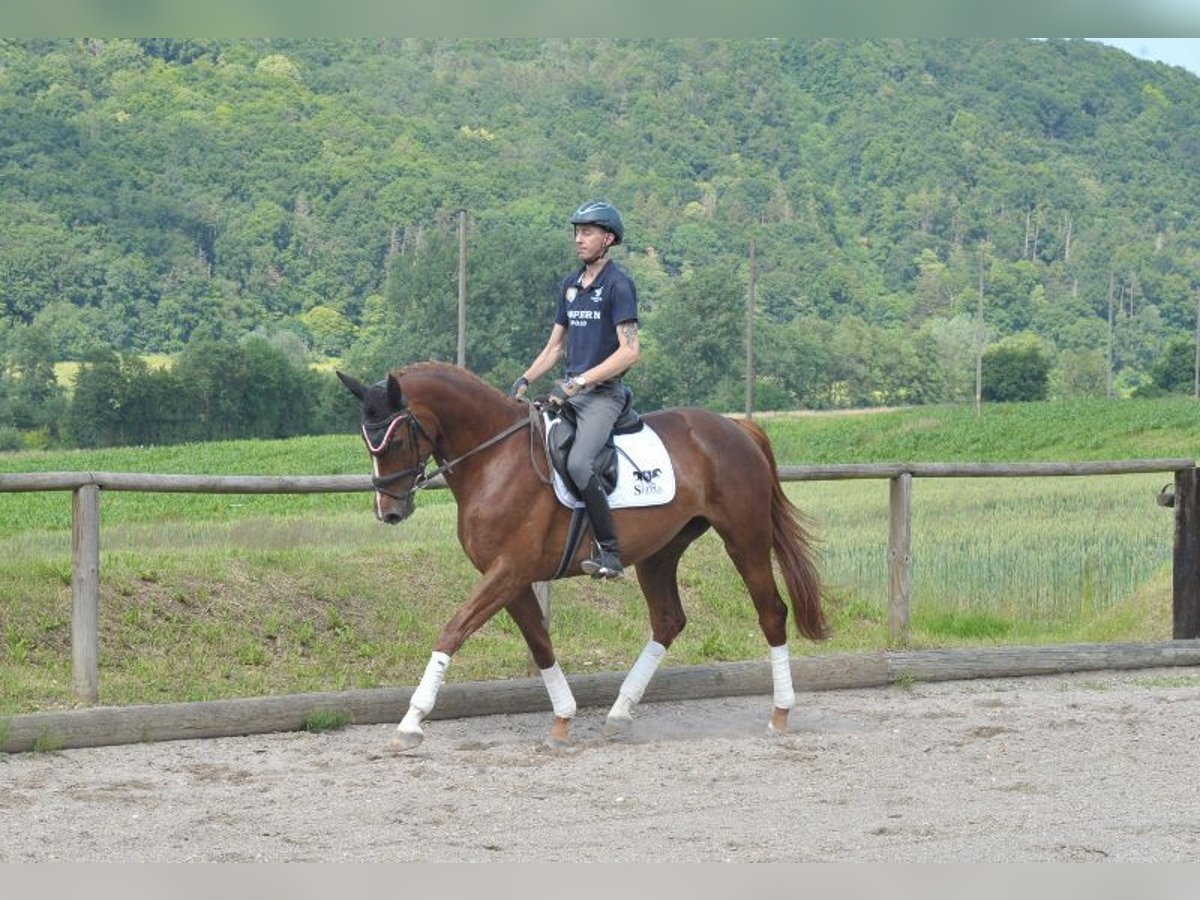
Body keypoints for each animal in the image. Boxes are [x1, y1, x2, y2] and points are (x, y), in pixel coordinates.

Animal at [338, 362, 825, 748]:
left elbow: (453, 631)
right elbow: (539, 642)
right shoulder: (510, 577)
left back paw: (780, 714)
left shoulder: (508, 571)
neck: (494, 460)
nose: (389, 512)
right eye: (366, 441)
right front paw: (563, 718)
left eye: (395, 441)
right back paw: (620, 713)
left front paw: (411, 721)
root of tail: (735, 427)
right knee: (668, 620)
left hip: (745, 539)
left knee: (771, 612)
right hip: (660, 552)